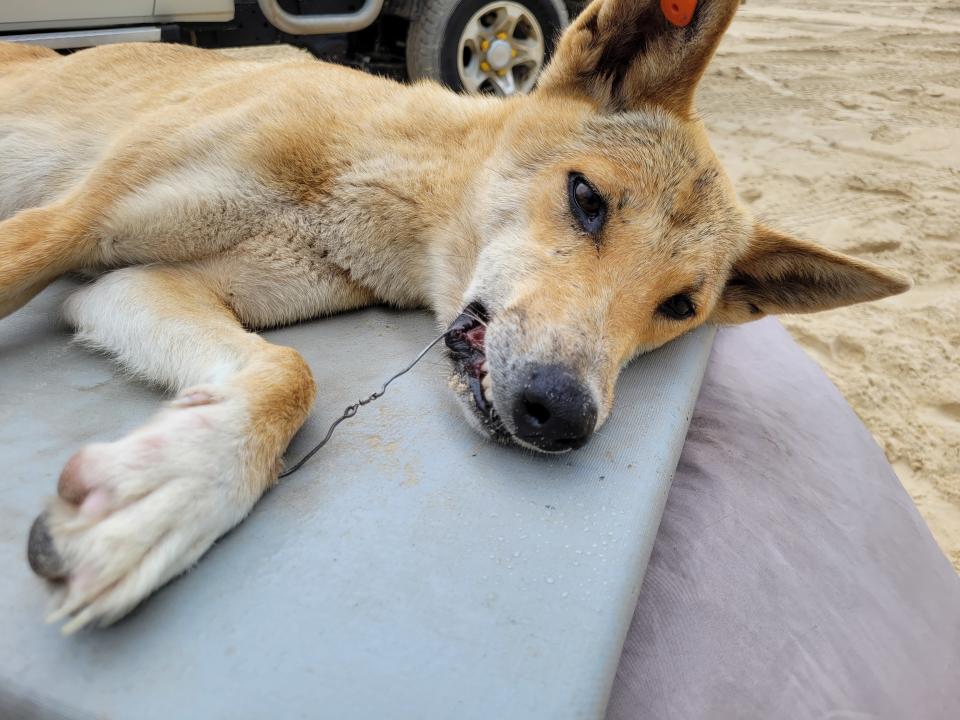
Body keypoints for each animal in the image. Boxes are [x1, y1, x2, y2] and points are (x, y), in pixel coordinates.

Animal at [0, 0, 908, 632]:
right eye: (586, 199)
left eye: (680, 307)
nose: (562, 416)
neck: (369, 181)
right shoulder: (62, 229)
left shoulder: (127, 283)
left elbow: (287, 372)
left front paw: (173, 489)